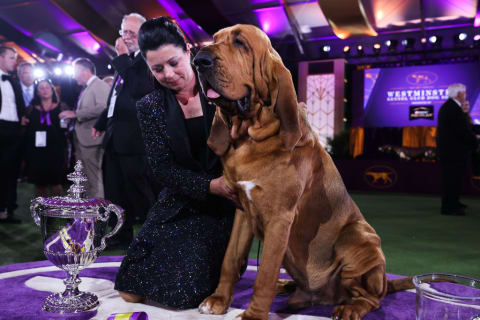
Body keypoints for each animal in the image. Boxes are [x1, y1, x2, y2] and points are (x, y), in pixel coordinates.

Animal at [193, 23, 410, 318]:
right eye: (214, 39)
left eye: (240, 43)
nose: (198, 60)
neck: (252, 135)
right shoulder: (242, 211)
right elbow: (230, 258)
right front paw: (218, 299)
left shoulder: (280, 219)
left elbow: (265, 275)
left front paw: (253, 314)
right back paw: (289, 288)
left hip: (358, 237)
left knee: (372, 298)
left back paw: (350, 307)